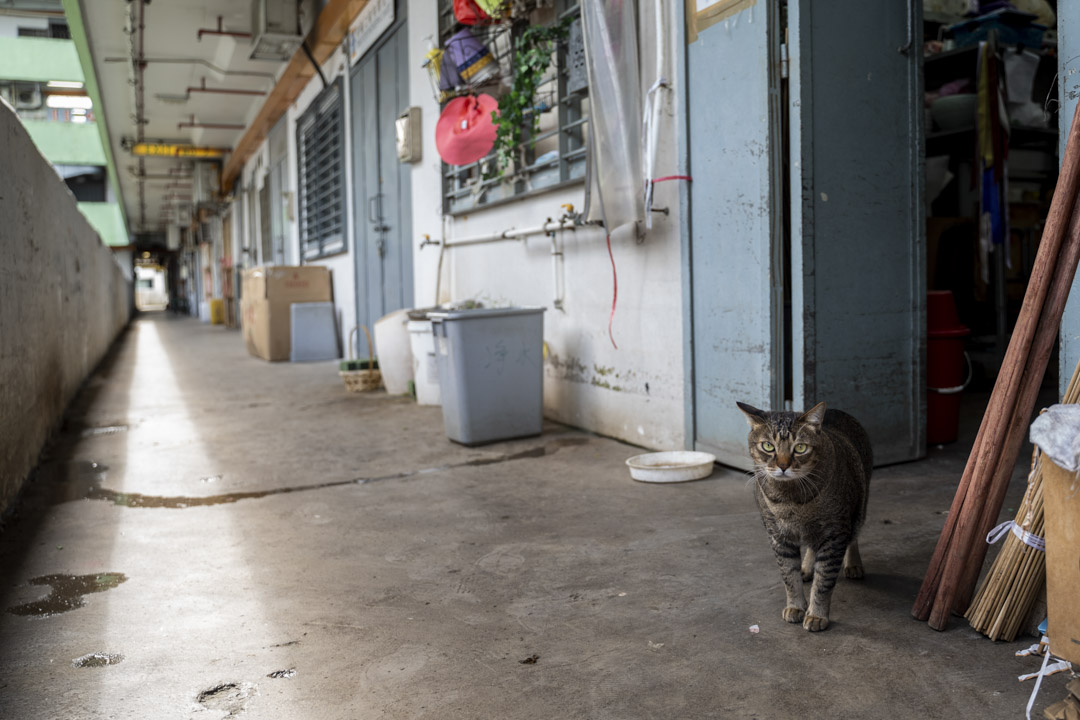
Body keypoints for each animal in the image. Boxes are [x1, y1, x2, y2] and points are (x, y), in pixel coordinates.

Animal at [738, 403, 872, 634]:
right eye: (768, 446)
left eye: (800, 448)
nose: (783, 466)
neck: (790, 500)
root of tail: (836, 409)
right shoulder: (778, 536)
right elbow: (789, 575)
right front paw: (795, 606)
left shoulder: (835, 534)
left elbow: (824, 581)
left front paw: (816, 614)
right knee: (810, 545)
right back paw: (807, 567)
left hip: (858, 508)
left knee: (853, 536)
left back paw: (853, 564)